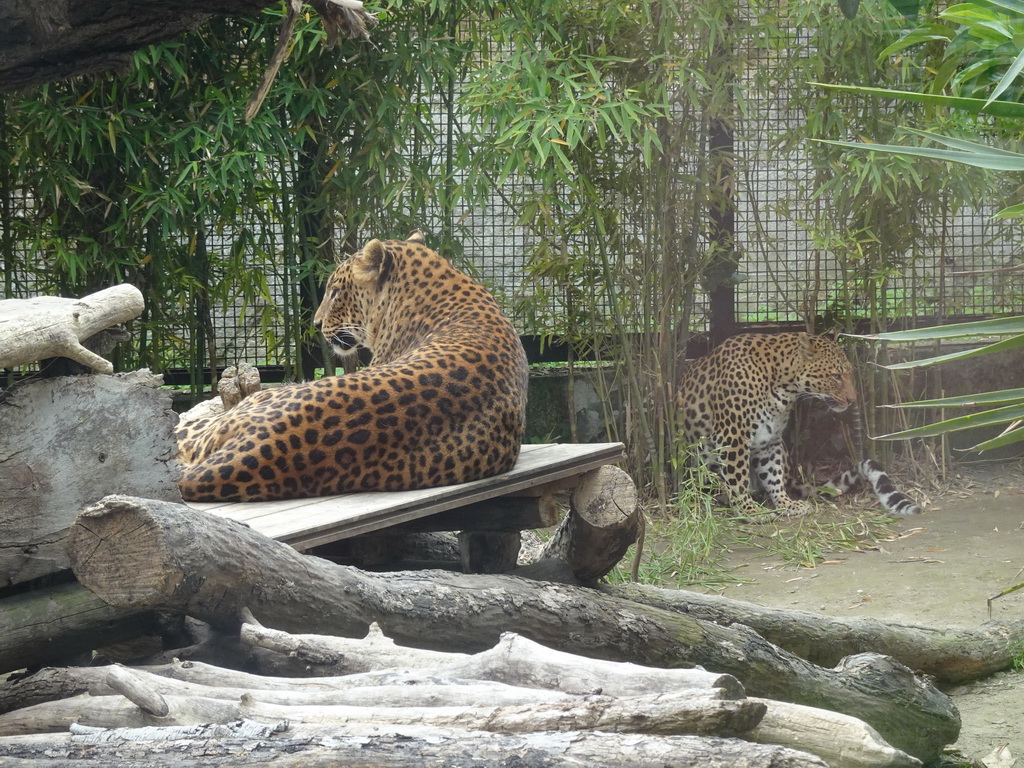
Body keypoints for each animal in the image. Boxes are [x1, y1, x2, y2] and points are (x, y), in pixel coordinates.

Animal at [675, 333, 925, 520]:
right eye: (836, 376)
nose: (852, 400)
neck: (782, 386)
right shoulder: (733, 436)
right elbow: (738, 477)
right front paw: (749, 510)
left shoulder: (769, 440)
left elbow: (773, 474)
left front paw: (786, 504)